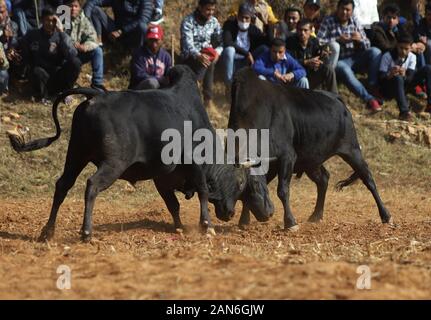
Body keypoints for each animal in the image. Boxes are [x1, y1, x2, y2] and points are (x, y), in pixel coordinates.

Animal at [8, 65, 274, 241]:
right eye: (246, 184)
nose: (230, 213)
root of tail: (97, 96)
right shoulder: (196, 167)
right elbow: (202, 192)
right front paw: (206, 225)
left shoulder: (162, 178)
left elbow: (173, 204)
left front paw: (179, 227)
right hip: (112, 163)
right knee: (91, 185)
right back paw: (86, 232)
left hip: (76, 154)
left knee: (62, 185)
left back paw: (48, 231)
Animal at [231, 67, 394, 230]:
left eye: (255, 184)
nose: (266, 214)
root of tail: (337, 98)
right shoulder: (272, 164)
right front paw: (243, 220)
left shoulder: (287, 157)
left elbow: (282, 190)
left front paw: (290, 222)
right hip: (311, 160)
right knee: (323, 179)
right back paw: (316, 215)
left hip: (351, 150)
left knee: (368, 178)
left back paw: (386, 215)